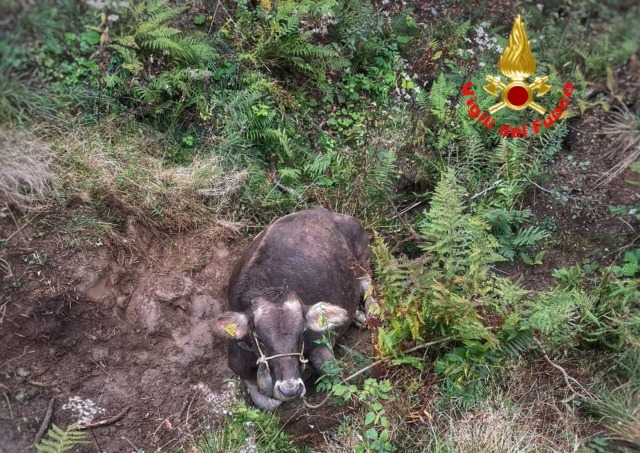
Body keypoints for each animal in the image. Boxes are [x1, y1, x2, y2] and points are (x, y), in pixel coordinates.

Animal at [212, 208, 373, 410]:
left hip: (361, 255)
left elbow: (332, 372)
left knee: (367, 284)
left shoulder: (321, 343)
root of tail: (322, 210)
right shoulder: (237, 362)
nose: (290, 389)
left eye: (302, 332)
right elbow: (266, 400)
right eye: (259, 339)